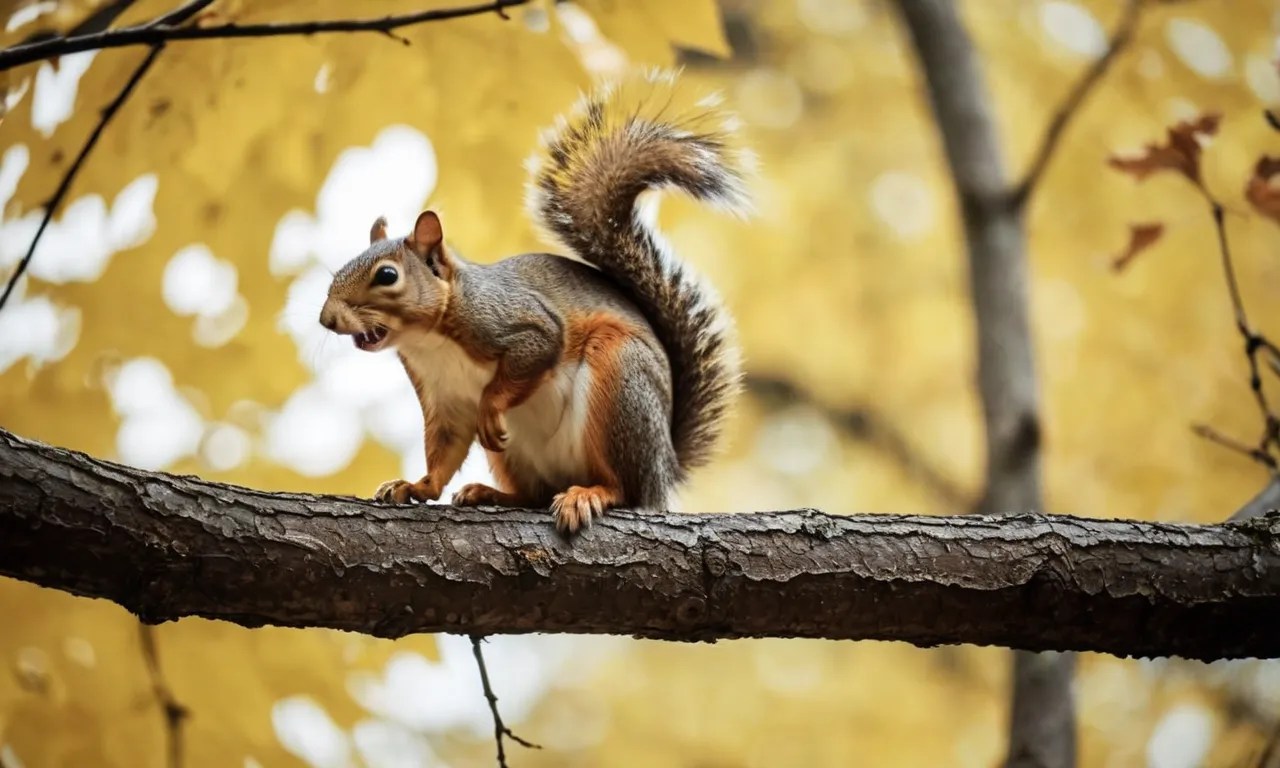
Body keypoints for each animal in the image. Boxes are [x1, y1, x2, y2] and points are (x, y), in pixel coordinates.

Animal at [318, 71, 754, 533]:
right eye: (339, 270)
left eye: (387, 276)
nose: (327, 319)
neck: (430, 339)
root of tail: (664, 468)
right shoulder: (444, 397)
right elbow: (445, 448)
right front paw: (416, 486)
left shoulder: (515, 321)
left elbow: (536, 349)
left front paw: (491, 404)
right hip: (515, 455)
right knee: (535, 495)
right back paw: (490, 493)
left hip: (620, 383)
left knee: (623, 489)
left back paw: (589, 494)